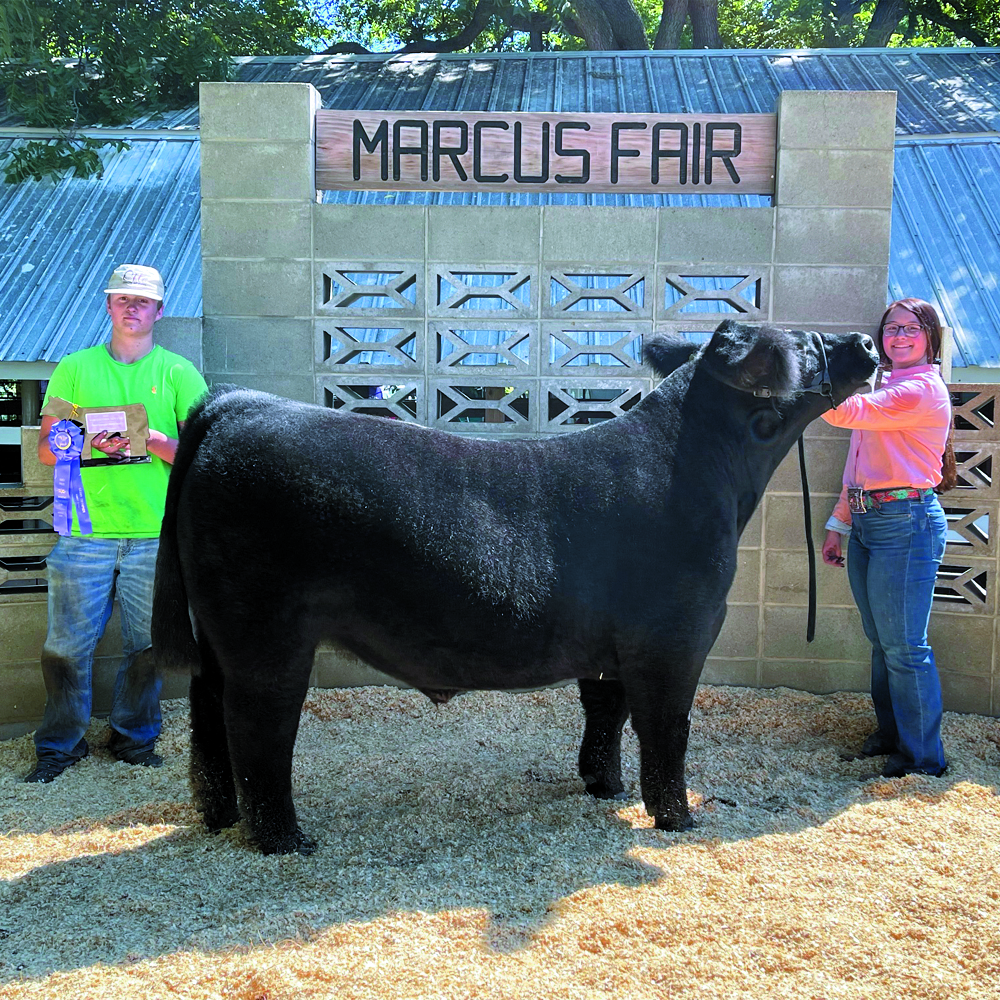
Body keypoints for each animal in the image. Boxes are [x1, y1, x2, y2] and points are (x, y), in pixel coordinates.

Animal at [153, 319, 879, 854]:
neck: (711, 477)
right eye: (804, 344)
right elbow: (667, 727)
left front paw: (605, 787)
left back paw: (219, 818)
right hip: (265, 631)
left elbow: (606, 714)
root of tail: (240, 404)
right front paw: (678, 818)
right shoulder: (677, 635)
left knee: (207, 717)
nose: (867, 344)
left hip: (219, 636)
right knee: (258, 725)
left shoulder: (612, 646)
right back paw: (284, 840)